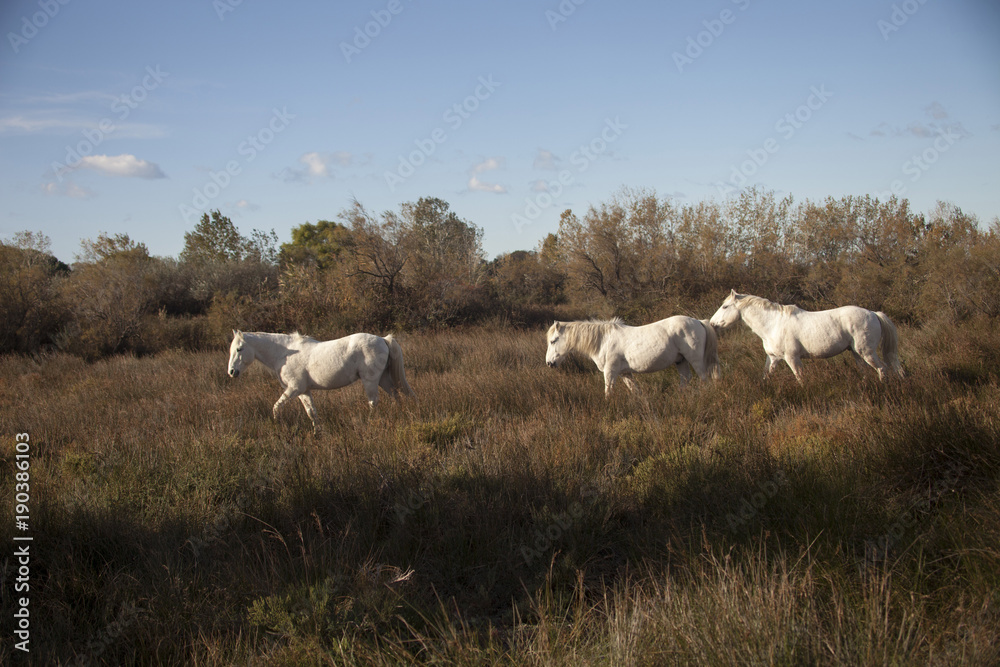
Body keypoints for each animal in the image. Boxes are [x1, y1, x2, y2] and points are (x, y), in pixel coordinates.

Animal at [228, 330, 414, 434]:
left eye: (239, 349)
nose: (232, 372)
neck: (284, 353)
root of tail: (383, 339)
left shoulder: (294, 389)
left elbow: (276, 407)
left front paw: (278, 426)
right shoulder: (303, 391)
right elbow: (312, 412)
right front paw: (317, 433)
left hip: (371, 380)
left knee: (373, 402)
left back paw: (370, 422)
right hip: (383, 379)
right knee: (396, 395)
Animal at [548, 318, 720, 396]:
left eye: (553, 340)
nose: (549, 363)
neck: (603, 341)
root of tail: (699, 321)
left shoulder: (610, 372)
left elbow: (608, 392)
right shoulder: (625, 374)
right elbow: (636, 391)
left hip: (695, 360)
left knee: (704, 378)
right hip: (681, 360)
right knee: (685, 379)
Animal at [708, 290, 904, 380]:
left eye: (725, 306)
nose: (712, 323)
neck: (773, 325)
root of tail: (873, 314)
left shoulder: (792, 358)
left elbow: (800, 377)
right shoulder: (773, 358)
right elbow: (766, 375)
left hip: (867, 352)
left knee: (882, 368)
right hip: (856, 353)